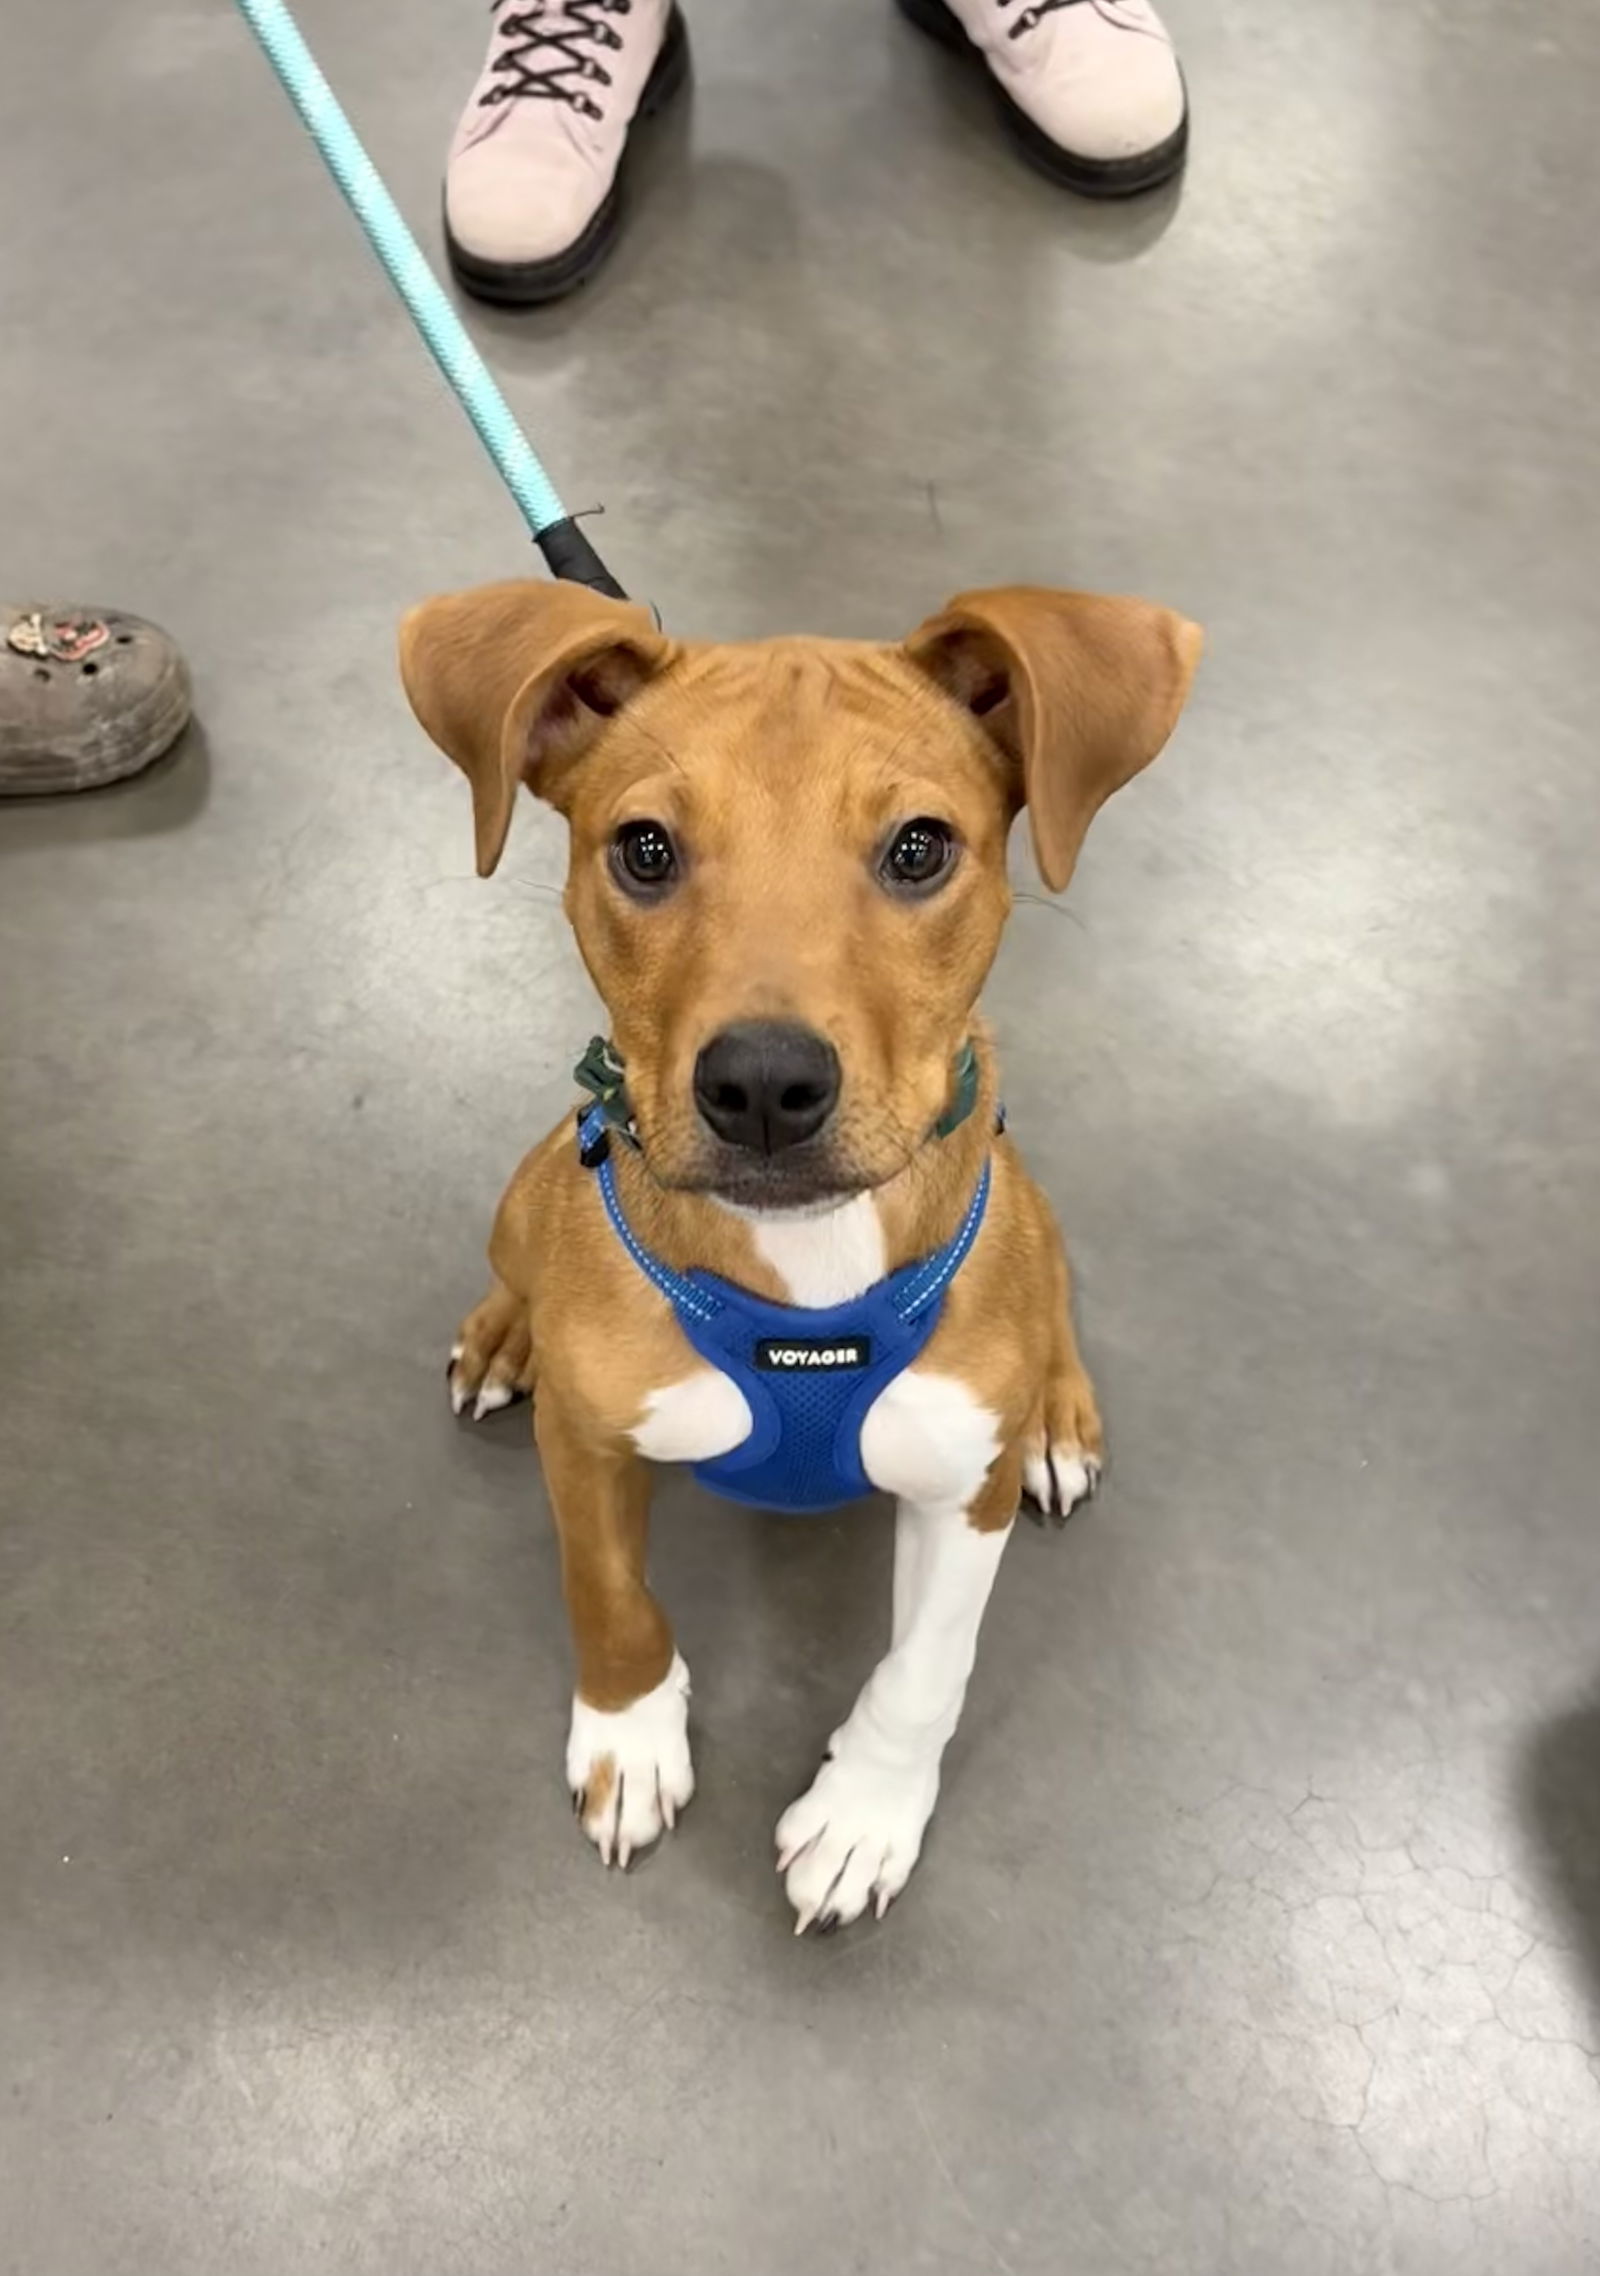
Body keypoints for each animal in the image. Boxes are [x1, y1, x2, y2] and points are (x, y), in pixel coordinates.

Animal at [400, 578, 1201, 1930]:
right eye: (645, 849)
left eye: (920, 847)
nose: (764, 1084)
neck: (804, 1274)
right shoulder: (586, 1444)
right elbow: (607, 1595)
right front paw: (629, 1734)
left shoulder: (962, 1491)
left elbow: (928, 1667)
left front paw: (865, 1813)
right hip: (526, 1190)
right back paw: (507, 1327)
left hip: (1029, 1218)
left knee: (1054, 1291)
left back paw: (1058, 1410)